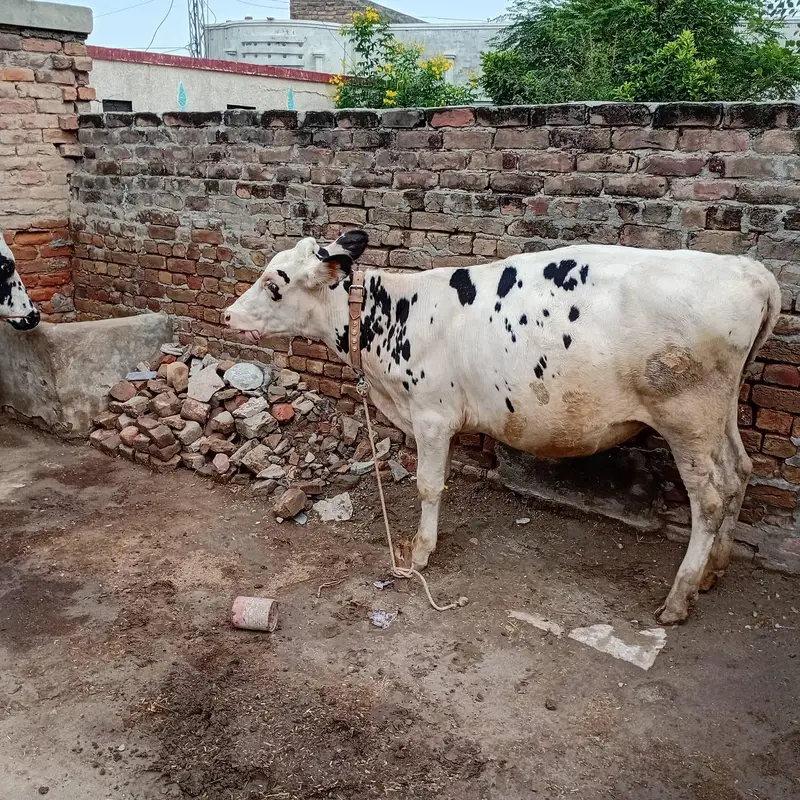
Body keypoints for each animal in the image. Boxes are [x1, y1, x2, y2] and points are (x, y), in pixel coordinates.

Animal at [224, 230, 780, 624]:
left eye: (275, 283)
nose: (228, 315)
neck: (390, 315)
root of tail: (750, 270)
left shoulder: (431, 415)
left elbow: (429, 485)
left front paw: (419, 554)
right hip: (718, 417)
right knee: (740, 472)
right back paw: (714, 571)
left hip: (688, 419)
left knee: (711, 499)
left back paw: (680, 597)